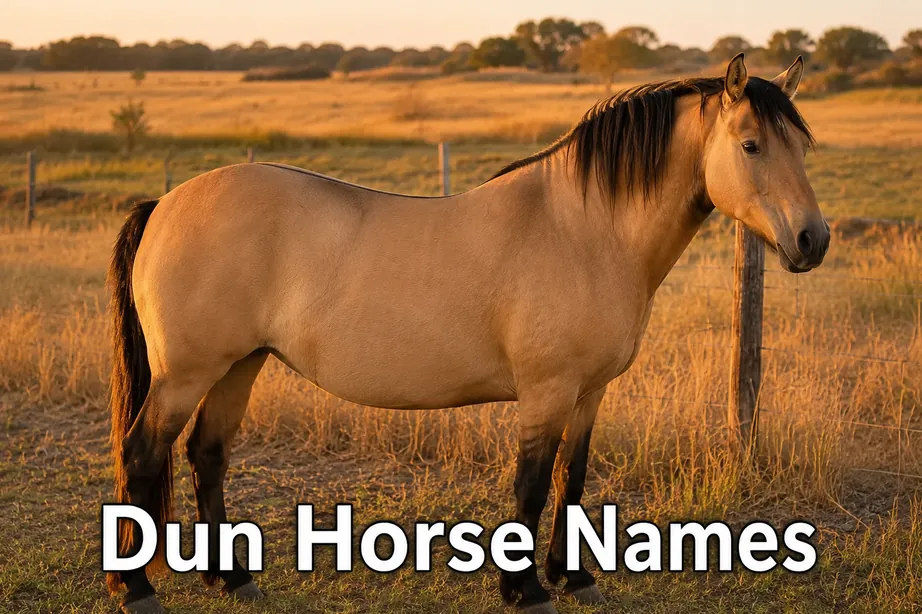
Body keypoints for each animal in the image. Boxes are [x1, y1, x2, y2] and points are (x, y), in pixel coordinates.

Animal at [105, 54, 828, 613]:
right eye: (751, 145)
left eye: (802, 146)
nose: (812, 241)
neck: (584, 230)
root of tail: (165, 202)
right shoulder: (545, 392)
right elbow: (532, 484)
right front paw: (525, 590)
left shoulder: (587, 393)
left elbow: (572, 478)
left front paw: (575, 578)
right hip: (187, 374)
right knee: (142, 454)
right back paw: (137, 589)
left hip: (240, 364)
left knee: (207, 455)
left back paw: (232, 579)